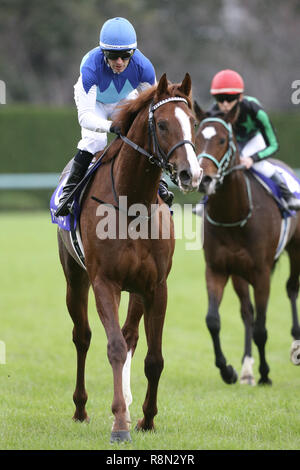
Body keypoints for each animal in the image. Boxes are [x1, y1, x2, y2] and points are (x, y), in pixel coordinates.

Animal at [56, 74, 202, 444]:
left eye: (193, 122)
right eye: (162, 124)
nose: (191, 174)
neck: (132, 203)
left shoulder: (156, 286)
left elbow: (153, 358)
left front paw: (146, 418)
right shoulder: (103, 283)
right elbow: (114, 348)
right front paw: (120, 424)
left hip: (135, 289)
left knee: (130, 334)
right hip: (75, 279)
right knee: (83, 336)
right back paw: (81, 409)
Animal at [193, 103, 300, 386]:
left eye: (222, 140)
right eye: (195, 139)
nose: (204, 179)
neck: (234, 216)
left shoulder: (261, 273)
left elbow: (262, 329)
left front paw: (265, 374)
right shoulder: (218, 269)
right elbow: (213, 321)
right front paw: (228, 370)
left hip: (296, 249)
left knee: (291, 288)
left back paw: (295, 345)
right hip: (239, 274)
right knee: (247, 312)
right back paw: (247, 368)